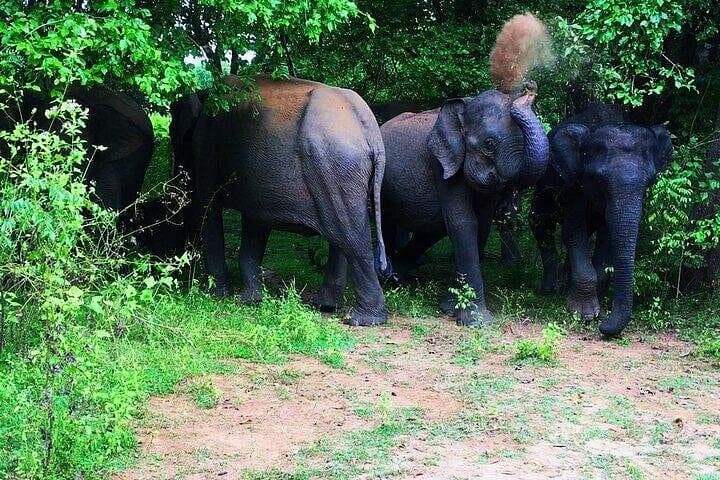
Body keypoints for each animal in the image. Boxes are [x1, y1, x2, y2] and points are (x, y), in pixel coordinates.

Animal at [175, 75, 389, 326]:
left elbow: (208, 208)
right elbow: (255, 223)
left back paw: (360, 319)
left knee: (350, 236)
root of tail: (370, 130)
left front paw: (216, 295)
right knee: (342, 235)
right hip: (343, 172)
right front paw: (251, 299)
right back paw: (326, 306)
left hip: (333, 167)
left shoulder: (207, 147)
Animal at [378, 82, 549, 326]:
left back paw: (399, 275)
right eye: (489, 145)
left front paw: (450, 307)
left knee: (432, 230)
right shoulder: (442, 166)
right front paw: (477, 322)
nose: (529, 87)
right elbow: (463, 223)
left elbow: (482, 225)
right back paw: (389, 280)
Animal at [530, 103, 673, 336]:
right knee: (541, 223)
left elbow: (606, 236)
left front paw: (596, 309)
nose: (603, 328)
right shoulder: (573, 183)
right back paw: (550, 289)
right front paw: (585, 314)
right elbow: (573, 232)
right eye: (599, 179)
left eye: (650, 180)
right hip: (543, 182)